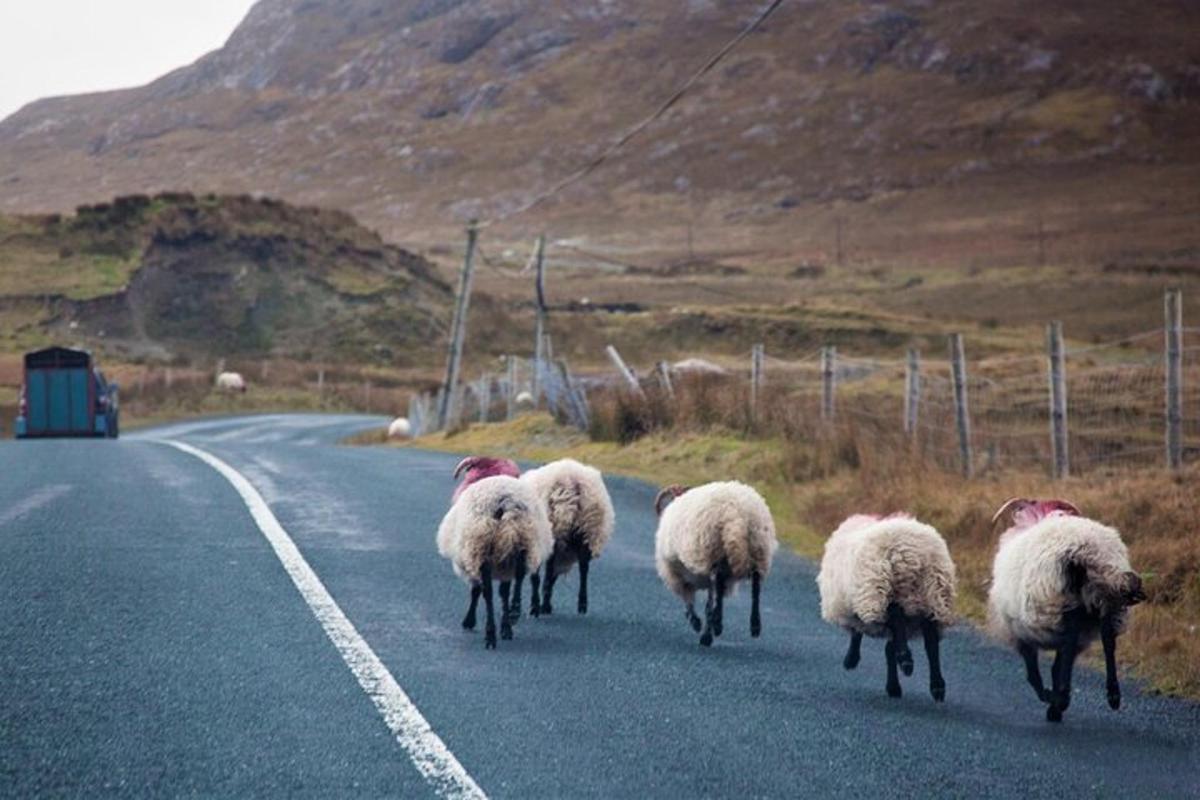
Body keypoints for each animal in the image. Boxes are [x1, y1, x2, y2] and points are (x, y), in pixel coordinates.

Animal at [436, 455, 552, 652]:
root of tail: (505, 502)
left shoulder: (472, 558)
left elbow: (476, 591)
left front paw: (469, 621)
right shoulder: (504, 564)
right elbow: (504, 593)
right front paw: (506, 627)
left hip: (483, 548)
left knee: (488, 593)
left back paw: (490, 635)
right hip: (521, 544)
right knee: (519, 576)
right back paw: (514, 611)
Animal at [520, 460, 614, 618]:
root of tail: (571, 482)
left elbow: (538, 576)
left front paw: (536, 606)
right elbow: (551, 576)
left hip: (555, 531)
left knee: (548, 573)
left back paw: (542, 606)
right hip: (586, 532)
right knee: (584, 569)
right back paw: (582, 605)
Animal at [657, 482, 777, 642]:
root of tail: (735, 513)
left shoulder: (675, 574)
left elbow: (690, 600)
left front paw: (696, 622)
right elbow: (705, 601)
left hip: (713, 552)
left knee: (717, 586)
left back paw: (715, 626)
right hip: (758, 549)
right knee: (755, 585)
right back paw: (754, 625)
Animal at [816, 513, 955, 700]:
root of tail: (910, 552)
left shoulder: (860, 604)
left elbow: (859, 633)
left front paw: (852, 659)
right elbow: (889, 648)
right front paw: (893, 686)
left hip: (881, 589)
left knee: (895, 615)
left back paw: (905, 659)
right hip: (933, 595)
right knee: (931, 641)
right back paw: (937, 685)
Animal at [988, 496, 1147, 724]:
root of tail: (1086, 549)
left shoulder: (1020, 632)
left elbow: (1034, 673)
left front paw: (1049, 697)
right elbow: (1059, 665)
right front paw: (1054, 702)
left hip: (1062, 602)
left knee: (1072, 639)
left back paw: (1062, 698)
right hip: (1107, 600)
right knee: (1108, 640)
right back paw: (1113, 695)